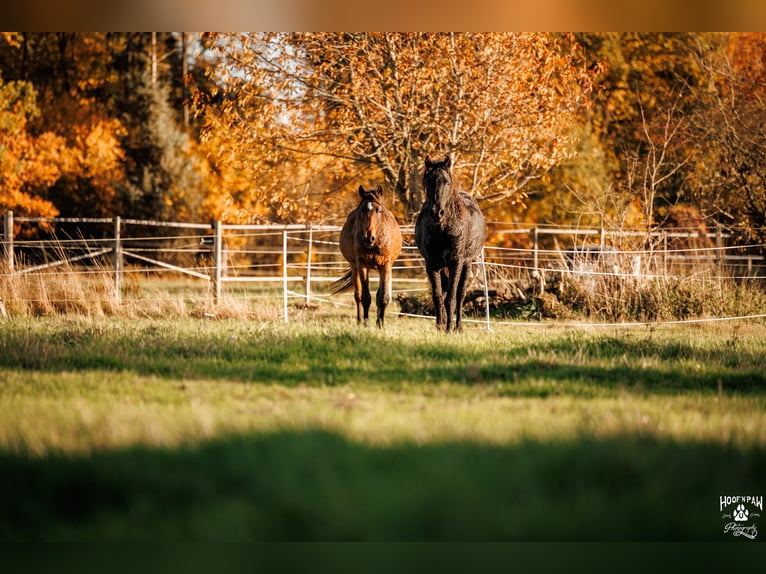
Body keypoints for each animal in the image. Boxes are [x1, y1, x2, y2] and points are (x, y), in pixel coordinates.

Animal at [330, 184, 403, 328]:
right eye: (361, 210)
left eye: (378, 210)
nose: (368, 238)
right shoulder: (362, 265)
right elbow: (365, 297)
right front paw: (365, 323)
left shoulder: (385, 266)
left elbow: (383, 297)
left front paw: (381, 324)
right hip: (354, 268)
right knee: (357, 295)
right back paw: (359, 321)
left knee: (378, 295)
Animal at [415, 155, 486, 332]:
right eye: (428, 181)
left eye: (446, 182)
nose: (436, 213)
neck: (443, 229)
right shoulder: (431, 264)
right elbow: (438, 297)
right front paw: (440, 326)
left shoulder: (456, 263)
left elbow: (452, 298)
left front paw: (449, 329)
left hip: (467, 264)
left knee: (461, 294)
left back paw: (458, 327)